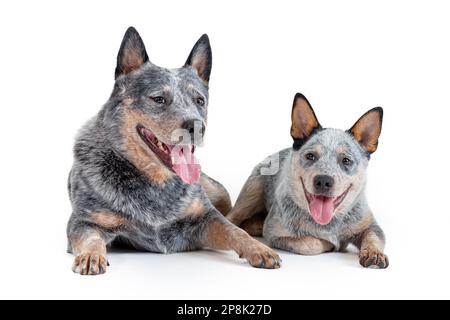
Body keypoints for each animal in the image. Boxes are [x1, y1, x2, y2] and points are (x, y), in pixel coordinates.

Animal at [66, 27, 282, 276]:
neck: (157, 184)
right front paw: (91, 255)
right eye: (159, 99)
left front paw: (258, 248)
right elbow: (90, 237)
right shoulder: (84, 221)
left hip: (218, 190)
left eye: (199, 100)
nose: (197, 126)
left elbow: (233, 230)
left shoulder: (207, 218)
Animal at [227, 92, 388, 268]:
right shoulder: (274, 233)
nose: (323, 181)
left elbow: (374, 236)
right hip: (251, 191)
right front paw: (331, 244)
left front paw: (374, 252)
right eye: (310, 156)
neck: (327, 223)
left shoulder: (371, 225)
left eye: (346, 160)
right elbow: (311, 243)